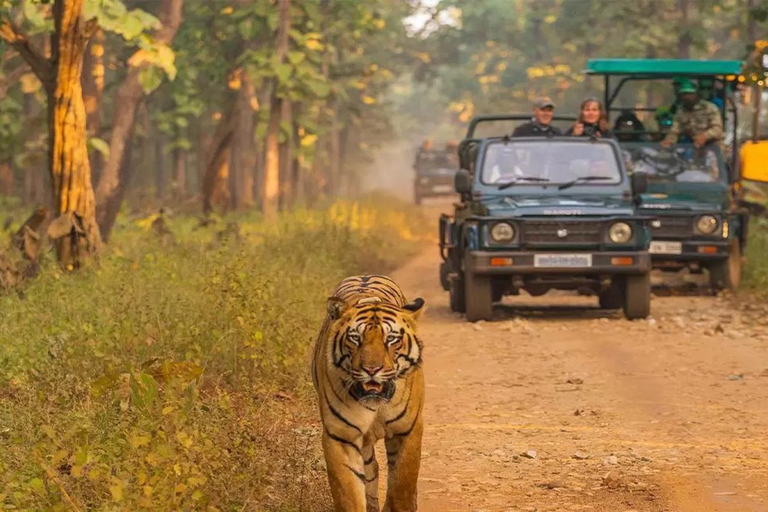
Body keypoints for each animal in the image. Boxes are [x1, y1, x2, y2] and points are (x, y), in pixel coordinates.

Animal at [314, 274, 428, 510]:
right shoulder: (340, 436)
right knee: (372, 468)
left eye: (391, 339)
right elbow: (349, 493)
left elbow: (402, 484)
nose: (372, 369)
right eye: (355, 338)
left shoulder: (409, 430)